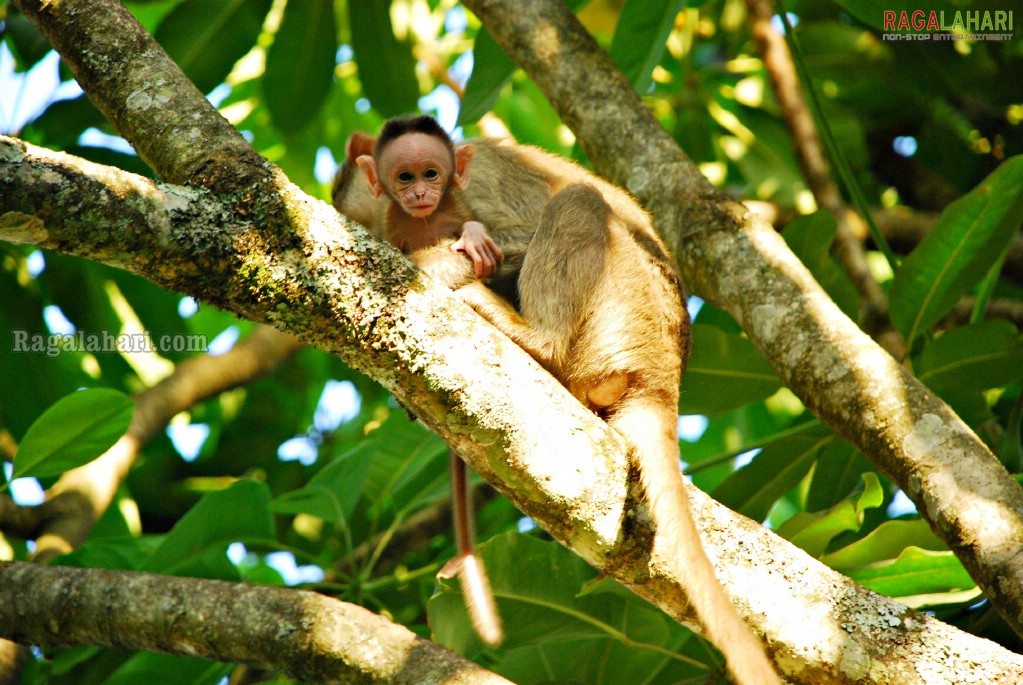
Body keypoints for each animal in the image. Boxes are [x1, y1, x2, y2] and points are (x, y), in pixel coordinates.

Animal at [331, 118, 777, 685]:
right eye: (401, 178)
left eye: (425, 173)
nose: (417, 195)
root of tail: (663, 381)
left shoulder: (476, 185)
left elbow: (515, 231)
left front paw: (442, 257)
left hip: (620, 316)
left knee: (578, 203)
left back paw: (534, 338)